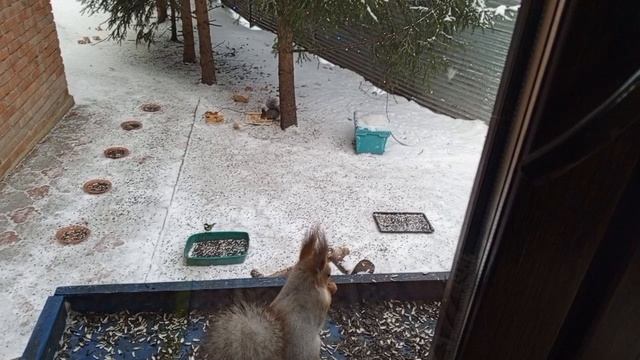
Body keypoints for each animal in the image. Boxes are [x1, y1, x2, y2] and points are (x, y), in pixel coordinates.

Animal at [202, 225, 338, 360]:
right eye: (328, 274)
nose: (330, 281)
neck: (302, 280)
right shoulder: (320, 300)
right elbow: (327, 301)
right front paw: (332, 287)